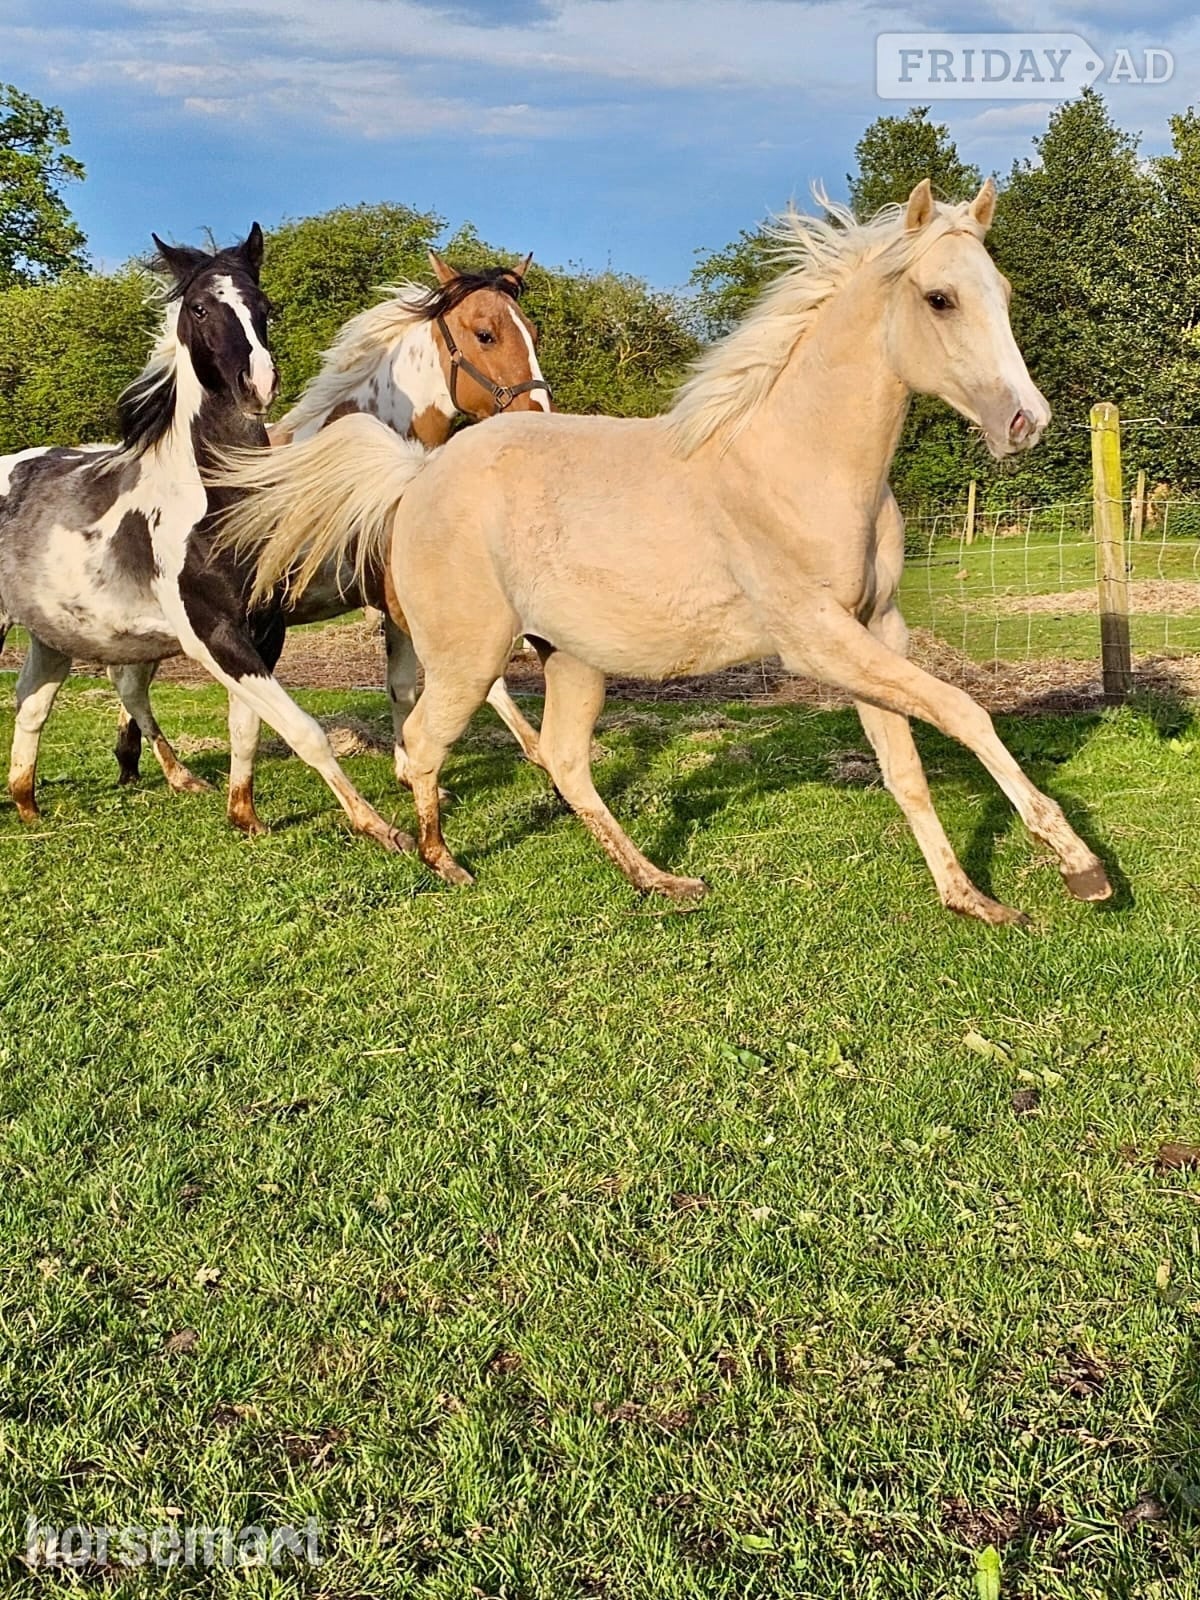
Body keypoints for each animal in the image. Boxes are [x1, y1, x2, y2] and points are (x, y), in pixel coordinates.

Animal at [0, 225, 412, 851]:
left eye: (264, 306)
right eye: (198, 307)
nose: (258, 384)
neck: (215, 503)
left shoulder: (263, 632)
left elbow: (247, 726)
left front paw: (246, 817)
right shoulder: (210, 635)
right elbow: (304, 729)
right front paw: (382, 828)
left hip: (54, 638)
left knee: (31, 707)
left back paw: (29, 809)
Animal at [103, 250, 552, 812]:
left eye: (532, 331)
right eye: (486, 334)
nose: (539, 416)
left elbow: (403, 685)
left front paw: (411, 773)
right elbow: (482, 682)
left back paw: (135, 762)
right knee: (132, 685)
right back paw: (172, 771)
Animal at [213, 179, 1113, 924]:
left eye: (1002, 293)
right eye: (939, 298)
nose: (1025, 423)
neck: (798, 465)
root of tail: (419, 475)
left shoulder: (876, 628)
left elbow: (907, 768)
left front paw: (972, 899)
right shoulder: (820, 640)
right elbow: (965, 711)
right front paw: (1078, 863)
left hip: (571, 659)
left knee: (565, 763)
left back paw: (658, 879)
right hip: (469, 658)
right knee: (423, 748)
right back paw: (441, 861)